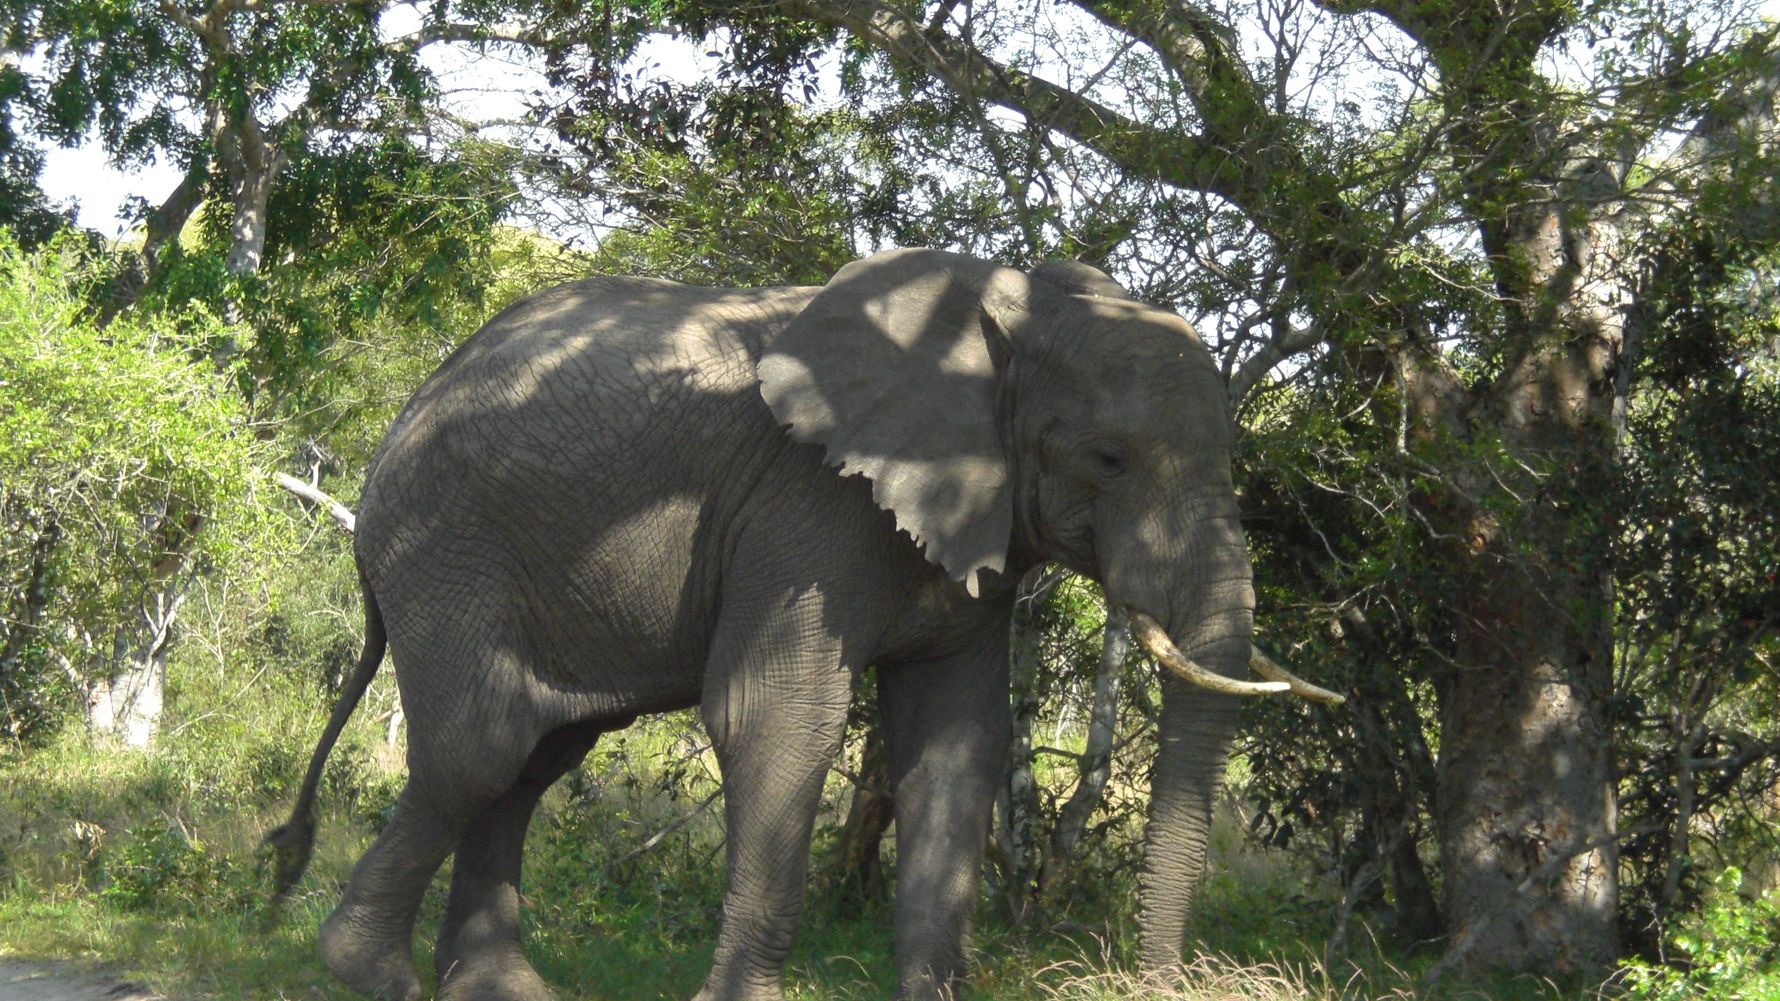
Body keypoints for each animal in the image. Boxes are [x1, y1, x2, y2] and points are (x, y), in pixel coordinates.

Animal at [266, 248, 1338, 1001]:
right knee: (482, 745)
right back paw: (368, 972)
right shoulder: (807, 505)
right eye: (1109, 459)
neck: (1005, 311)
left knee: (538, 754)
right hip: (444, 543)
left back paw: (502, 991)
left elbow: (956, 742)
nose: (1154, 982)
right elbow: (780, 720)